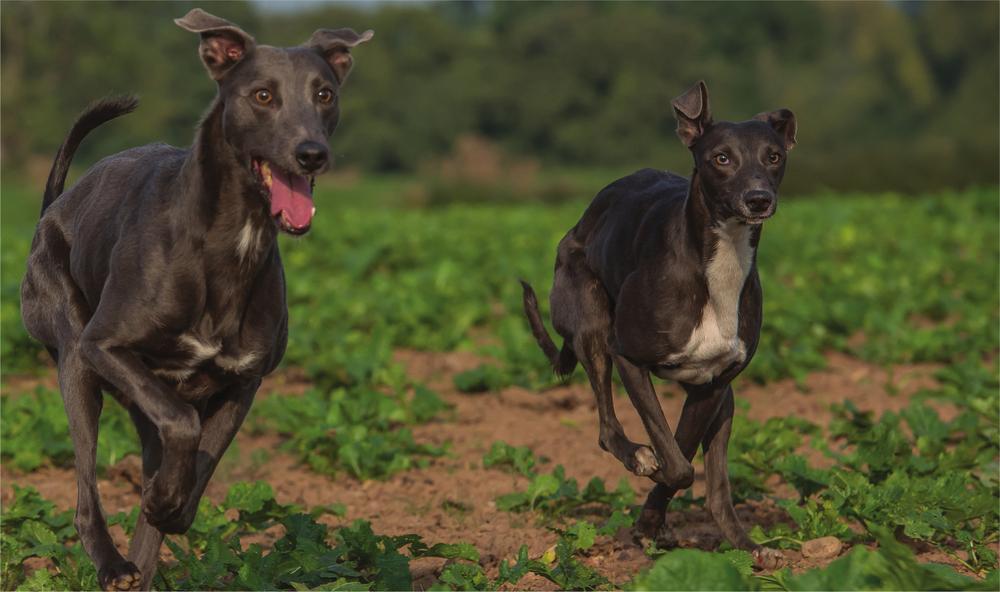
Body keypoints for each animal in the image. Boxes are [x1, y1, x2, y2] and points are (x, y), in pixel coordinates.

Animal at [19, 10, 372, 592]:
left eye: (324, 94)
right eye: (262, 95)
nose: (311, 154)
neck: (232, 240)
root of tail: (54, 206)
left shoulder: (244, 381)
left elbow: (202, 458)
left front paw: (169, 504)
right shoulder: (105, 346)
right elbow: (183, 421)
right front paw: (163, 498)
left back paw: (143, 551)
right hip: (74, 357)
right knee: (86, 489)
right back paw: (114, 564)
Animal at [524, 81, 796, 568]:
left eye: (773, 156)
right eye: (721, 158)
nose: (758, 199)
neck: (719, 264)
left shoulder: (713, 386)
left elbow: (683, 457)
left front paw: (651, 523)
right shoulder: (628, 356)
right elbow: (675, 464)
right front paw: (648, 489)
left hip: (724, 402)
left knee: (718, 490)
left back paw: (747, 546)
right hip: (591, 322)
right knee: (606, 427)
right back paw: (635, 457)